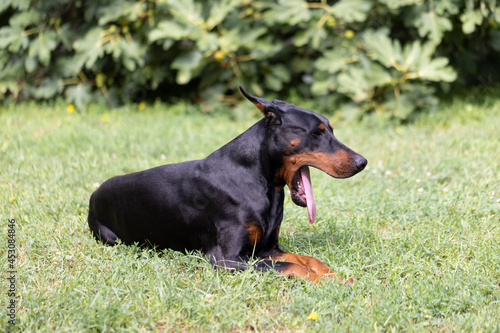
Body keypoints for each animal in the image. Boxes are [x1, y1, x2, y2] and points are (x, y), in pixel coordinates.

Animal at [88, 87, 366, 282]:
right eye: (317, 132)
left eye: (331, 129)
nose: (362, 162)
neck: (259, 182)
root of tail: (94, 193)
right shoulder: (227, 259)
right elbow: (292, 266)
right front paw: (327, 281)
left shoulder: (267, 248)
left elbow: (308, 259)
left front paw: (337, 277)